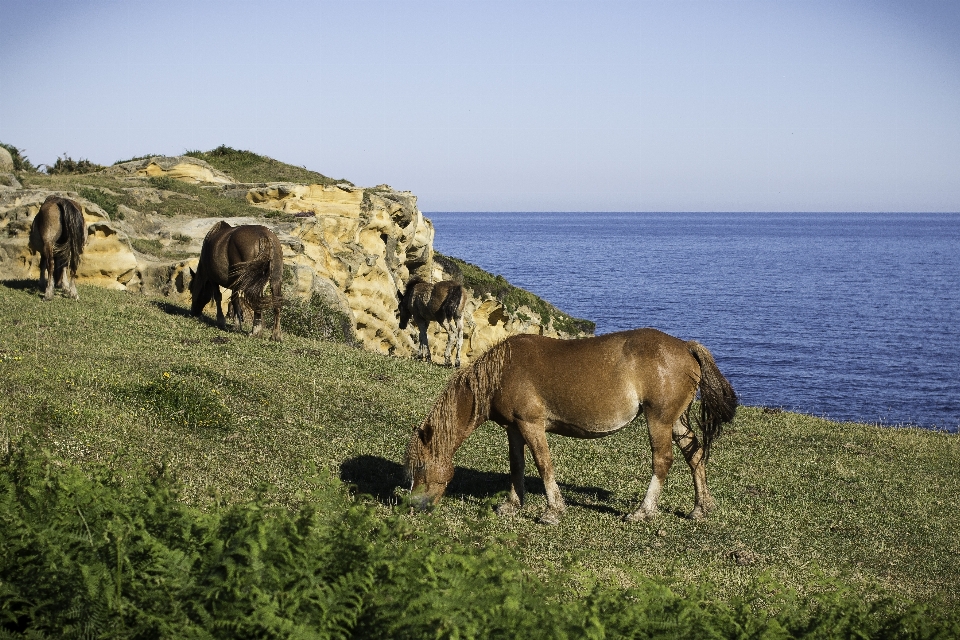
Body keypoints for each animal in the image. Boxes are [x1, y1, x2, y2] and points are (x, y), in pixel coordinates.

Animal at [402, 330, 740, 524]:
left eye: (421, 467)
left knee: (663, 461)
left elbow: (543, 464)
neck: (502, 372)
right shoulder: (514, 429)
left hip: (658, 419)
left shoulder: (531, 425)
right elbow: (516, 464)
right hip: (675, 420)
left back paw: (643, 511)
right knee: (695, 454)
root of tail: (685, 346)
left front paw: (553, 511)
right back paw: (700, 508)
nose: (414, 506)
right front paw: (512, 504)